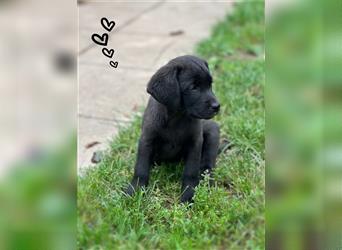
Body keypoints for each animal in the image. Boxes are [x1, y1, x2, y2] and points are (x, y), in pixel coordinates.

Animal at [125, 55, 219, 203]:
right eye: (193, 87)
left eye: (210, 85)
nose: (217, 106)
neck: (177, 118)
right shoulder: (146, 140)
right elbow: (141, 168)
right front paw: (135, 190)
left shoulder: (195, 143)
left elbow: (190, 172)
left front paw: (188, 196)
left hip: (213, 131)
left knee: (208, 165)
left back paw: (206, 181)